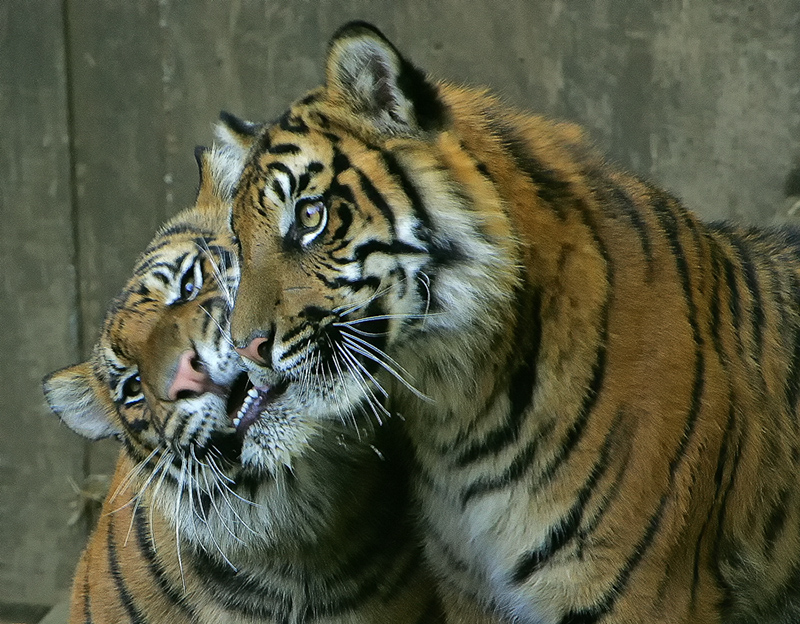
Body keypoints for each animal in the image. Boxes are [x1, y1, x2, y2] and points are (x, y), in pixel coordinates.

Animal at [224, 20, 800, 624]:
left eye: (310, 216)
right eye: (238, 243)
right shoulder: (472, 594)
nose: (244, 347)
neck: (459, 412)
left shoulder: (644, 595)